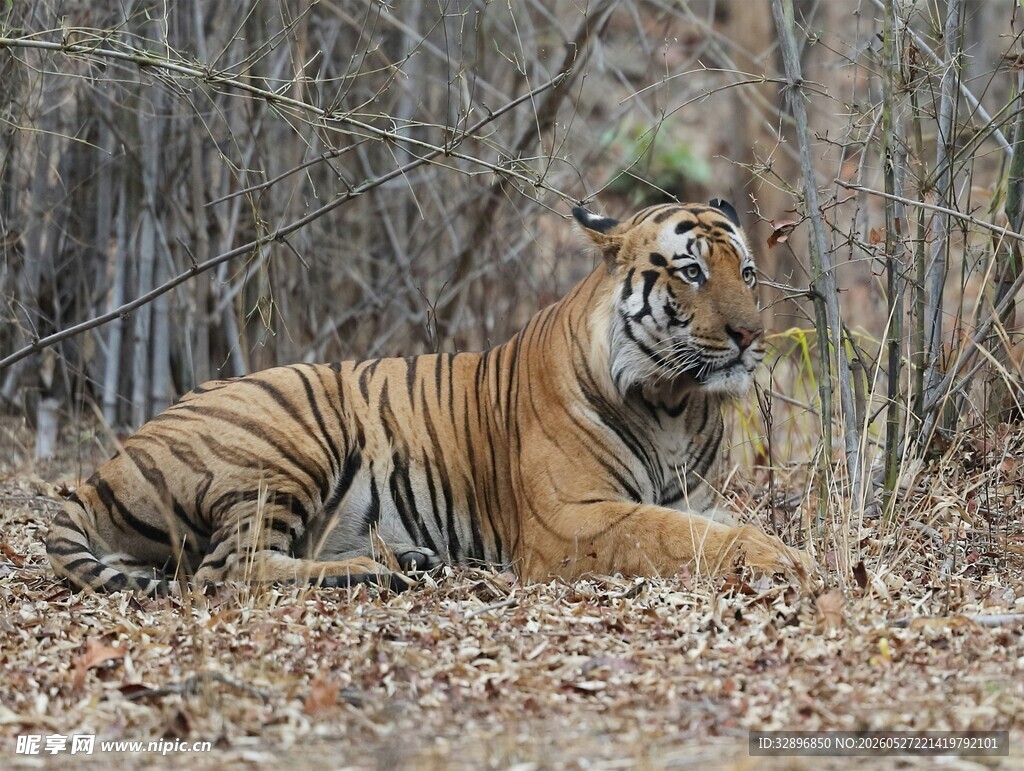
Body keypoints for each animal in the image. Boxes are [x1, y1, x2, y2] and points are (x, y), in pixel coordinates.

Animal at [46, 199, 815, 595]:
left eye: (747, 271)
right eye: (690, 272)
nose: (752, 335)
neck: (675, 403)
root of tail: (98, 474)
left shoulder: (692, 496)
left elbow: (707, 524)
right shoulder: (573, 518)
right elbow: (675, 536)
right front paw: (785, 560)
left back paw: (404, 561)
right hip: (293, 429)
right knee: (226, 571)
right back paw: (370, 572)